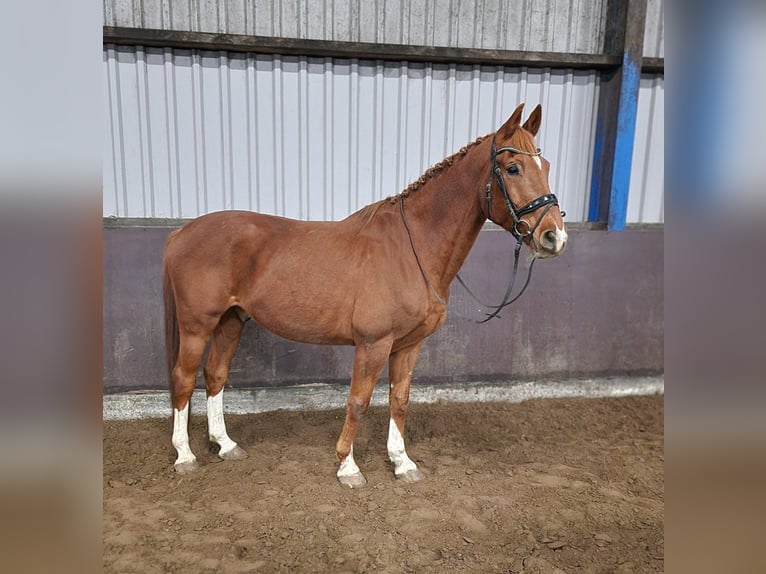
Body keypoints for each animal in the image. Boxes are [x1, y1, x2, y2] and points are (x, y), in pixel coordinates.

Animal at [162, 103, 568, 487]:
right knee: (184, 377)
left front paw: (403, 463)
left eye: (545, 165)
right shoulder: (373, 343)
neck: (412, 248)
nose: (554, 236)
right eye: (513, 168)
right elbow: (358, 401)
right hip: (198, 325)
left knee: (215, 374)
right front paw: (348, 466)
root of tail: (182, 233)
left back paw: (225, 445)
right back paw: (185, 456)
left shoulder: (408, 345)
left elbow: (399, 401)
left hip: (231, 320)